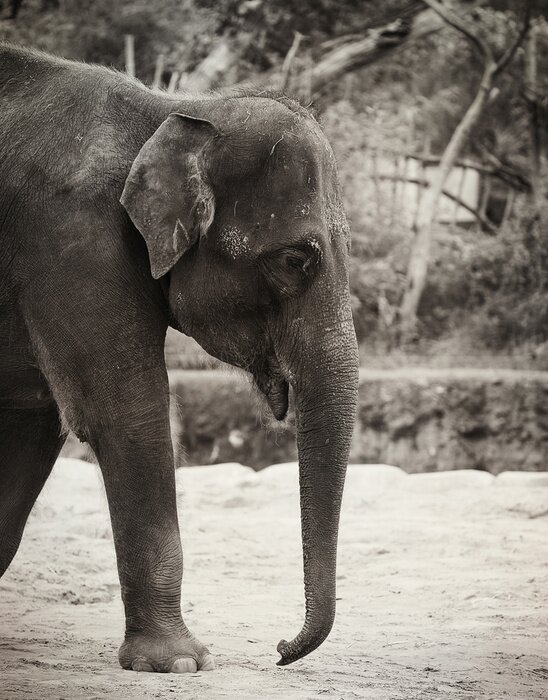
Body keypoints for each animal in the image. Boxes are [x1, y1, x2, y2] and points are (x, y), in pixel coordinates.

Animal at [0, 42, 359, 673]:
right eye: (296, 260)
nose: (279, 649)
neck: (172, 112)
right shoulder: (70, 241)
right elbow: (124, 416)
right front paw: (179, 663)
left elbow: (34, 423)